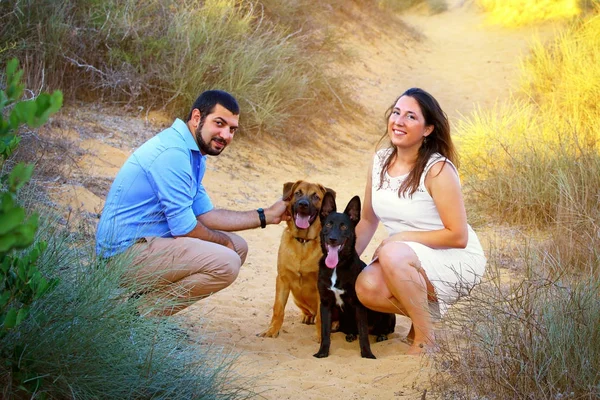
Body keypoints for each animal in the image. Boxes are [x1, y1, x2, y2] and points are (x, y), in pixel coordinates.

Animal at [256, 180, 336, 338]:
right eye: (298, 193)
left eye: (316, 197)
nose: (303, 204)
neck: (303, 242)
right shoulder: (282, 280)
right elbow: (278, 309)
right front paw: (272, 331)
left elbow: (321, 317)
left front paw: (321, 337)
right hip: (296, 297)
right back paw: (307, 316)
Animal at [314, 194, 394, 360]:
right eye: (328, 224)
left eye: (344, 227)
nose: (332, 239)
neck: (336, 267)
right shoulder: (325, 303)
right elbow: (325, 333)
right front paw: (322, 352)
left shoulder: (359, 305)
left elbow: (363, 335)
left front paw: (367, 354)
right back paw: (350, 334)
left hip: (387, 313)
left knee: (380, 330)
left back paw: (381, 335)